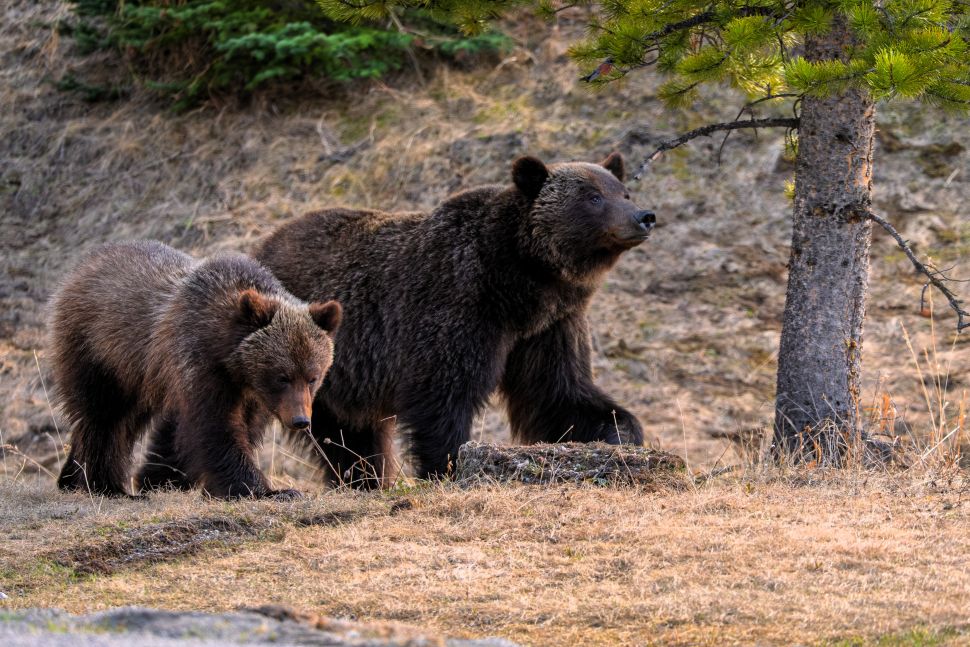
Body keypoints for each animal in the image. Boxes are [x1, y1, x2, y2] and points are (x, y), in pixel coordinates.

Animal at [50, 240, 342, 499]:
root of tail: (80, 267)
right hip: (99, 351)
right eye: (282, 377)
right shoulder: (198, 362)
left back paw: (70, 478)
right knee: (104, 417)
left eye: (313, 377)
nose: (301, 420)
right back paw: (107, 486)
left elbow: (246, 426)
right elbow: (216, 426)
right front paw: (266, 490)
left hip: (137, 374)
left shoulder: (252, 393)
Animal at [256, 153, 655, 487]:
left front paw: (619, 431)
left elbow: (559, 390)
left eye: (624, 191)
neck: (522, 284)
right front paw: (445, 465)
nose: (644, 216)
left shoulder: (549, 326)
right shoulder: (458, 303)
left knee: (350, 432)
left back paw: (364, 479)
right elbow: (443, 393)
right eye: (593, 197)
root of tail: (264, 245)